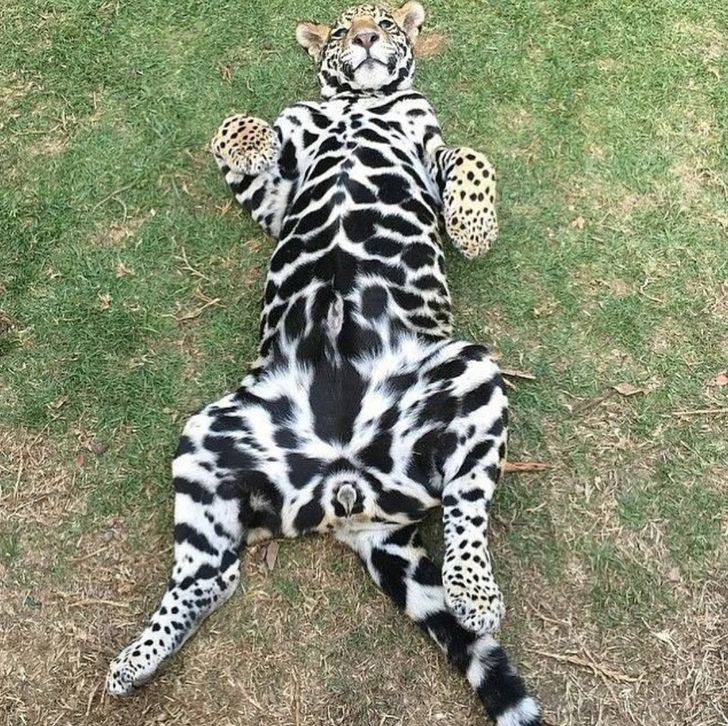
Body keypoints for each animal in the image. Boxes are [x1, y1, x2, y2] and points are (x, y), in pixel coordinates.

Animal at [106, 4, 541, 724]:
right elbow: (241, 127)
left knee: (466, 506)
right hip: (206, 442)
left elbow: (470, 156)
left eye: (387, 21)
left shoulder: (429, 145)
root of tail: (351, 497)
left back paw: (475, 594)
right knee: (211, 577)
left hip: (471, 369)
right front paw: (251, 139)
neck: (360, 104)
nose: (364, 38)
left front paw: (475, 229)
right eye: (340, 30)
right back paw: (135, 661)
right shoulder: (280, 191)